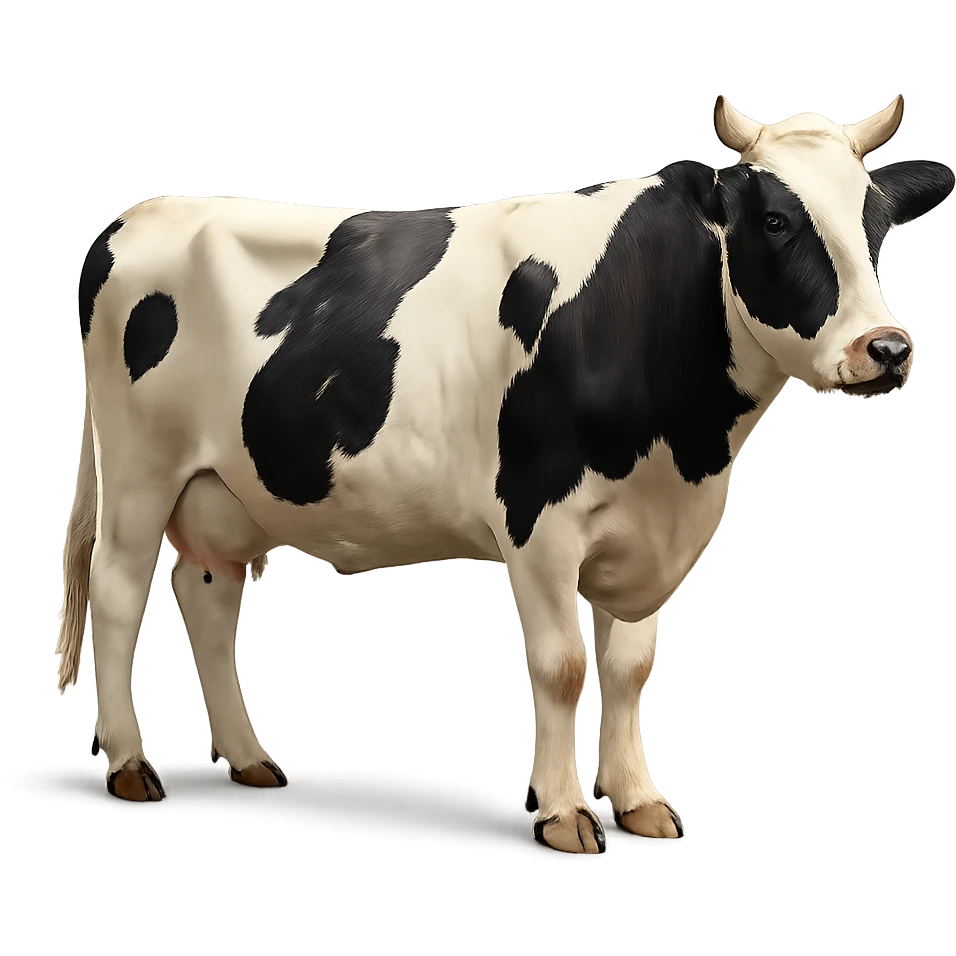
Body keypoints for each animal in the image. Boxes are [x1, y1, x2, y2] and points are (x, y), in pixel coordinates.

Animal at [59, 95, 953, 855]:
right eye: (774, 220)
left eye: (878, 225)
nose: (886, 348)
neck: (686, 445)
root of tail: (140, 214)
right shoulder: (540, 523)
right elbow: (562, 668)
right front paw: (563, 812)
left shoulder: (652, 525)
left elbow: (629, 668)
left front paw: (638, 801)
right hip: (138, 473)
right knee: (116, 594)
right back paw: (129, 763)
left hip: (226, 489)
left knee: (208, 600)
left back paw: (249, 758)